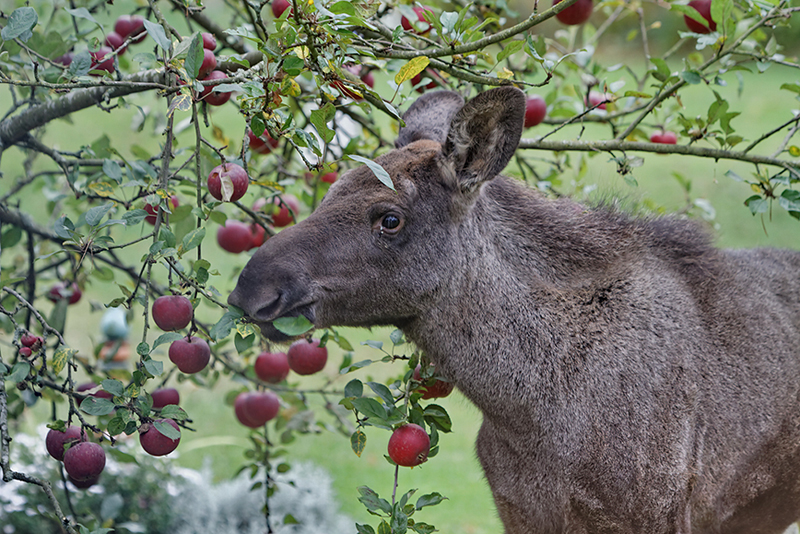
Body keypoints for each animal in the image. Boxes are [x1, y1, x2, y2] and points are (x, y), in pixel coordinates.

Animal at [230, 88, 800, 534]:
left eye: (389, 218)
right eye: (331, 190)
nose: (252, 288)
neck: (525, 407)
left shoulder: (650, 513)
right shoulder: (520, 510)